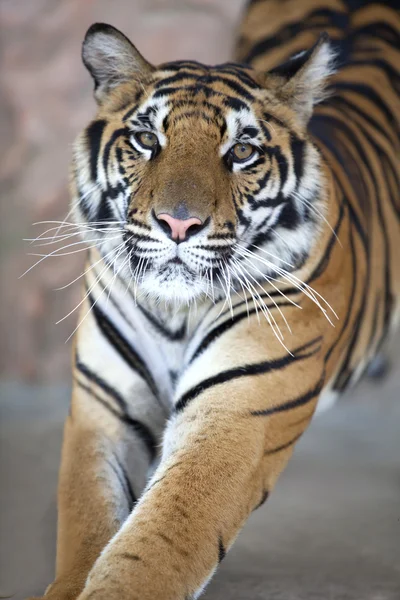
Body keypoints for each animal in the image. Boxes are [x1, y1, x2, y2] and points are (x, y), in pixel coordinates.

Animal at [30, 0, 400, 596]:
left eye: (242, 151)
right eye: (146, 141)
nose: (179, 224)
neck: (176, 311)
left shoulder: (238, 407)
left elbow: (153, 548)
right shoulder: (103, 407)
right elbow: (86, 520)